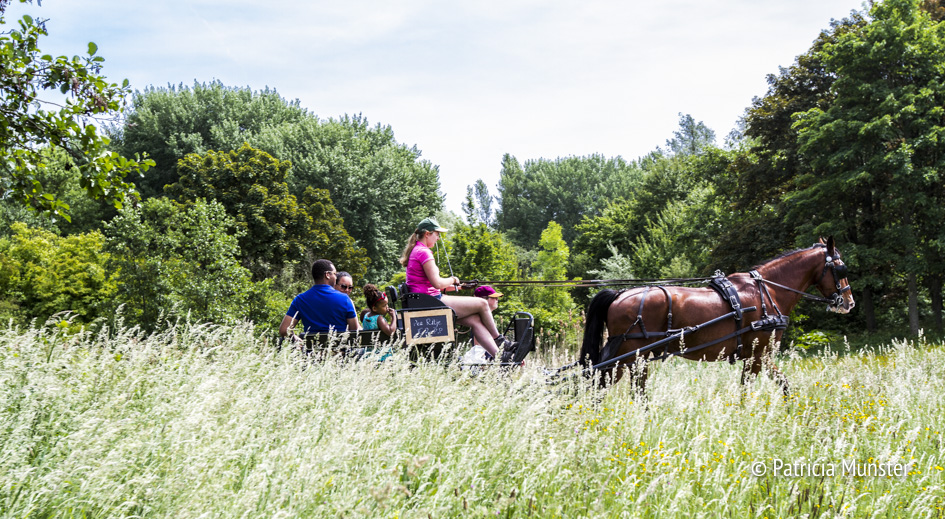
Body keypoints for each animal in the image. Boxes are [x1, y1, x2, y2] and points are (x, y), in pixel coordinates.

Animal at [579, 237, 855, 394]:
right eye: (841, 268)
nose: (849, 302)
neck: (768, 291)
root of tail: (619, 294)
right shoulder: (759, 355)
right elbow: (753, 390)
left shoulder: (755, 358)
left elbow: (779, 386)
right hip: (627, 357)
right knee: (601, 385)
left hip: (636, 360)